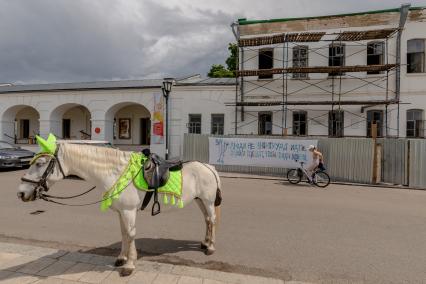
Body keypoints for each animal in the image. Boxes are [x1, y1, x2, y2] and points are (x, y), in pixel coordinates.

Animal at [17, 143, 221, 276]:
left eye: (40, 164)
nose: (21, 193)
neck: (116, 173)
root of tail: (208, 167)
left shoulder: (129, 211)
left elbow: (130, 235)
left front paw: (129, 265)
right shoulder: (121, 212)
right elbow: (123, 233)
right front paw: (122, 258)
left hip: (208, 201)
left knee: (211, 219)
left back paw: (210, 247)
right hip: (199, 200)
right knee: (207, 221)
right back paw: (205, 243)